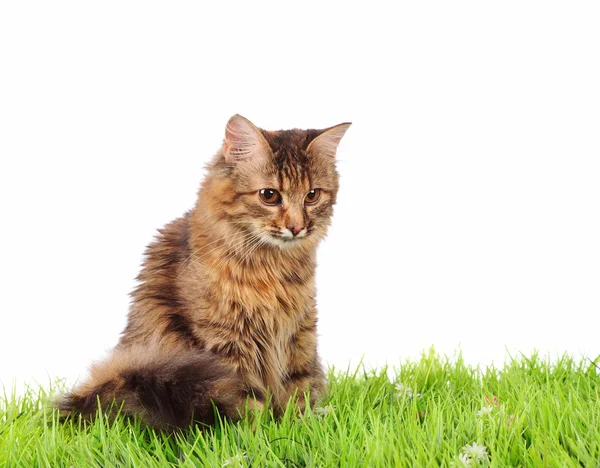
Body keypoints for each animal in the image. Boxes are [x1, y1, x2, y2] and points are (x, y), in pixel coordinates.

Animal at [57, 115, 352, 430]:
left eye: (312, 196)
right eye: (269, 196)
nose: (297, 227)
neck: (272, 267)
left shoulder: (300, 332)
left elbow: (298, 392)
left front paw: (301, 430)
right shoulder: (227, 341)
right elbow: (247, 401)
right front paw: (257, 435)